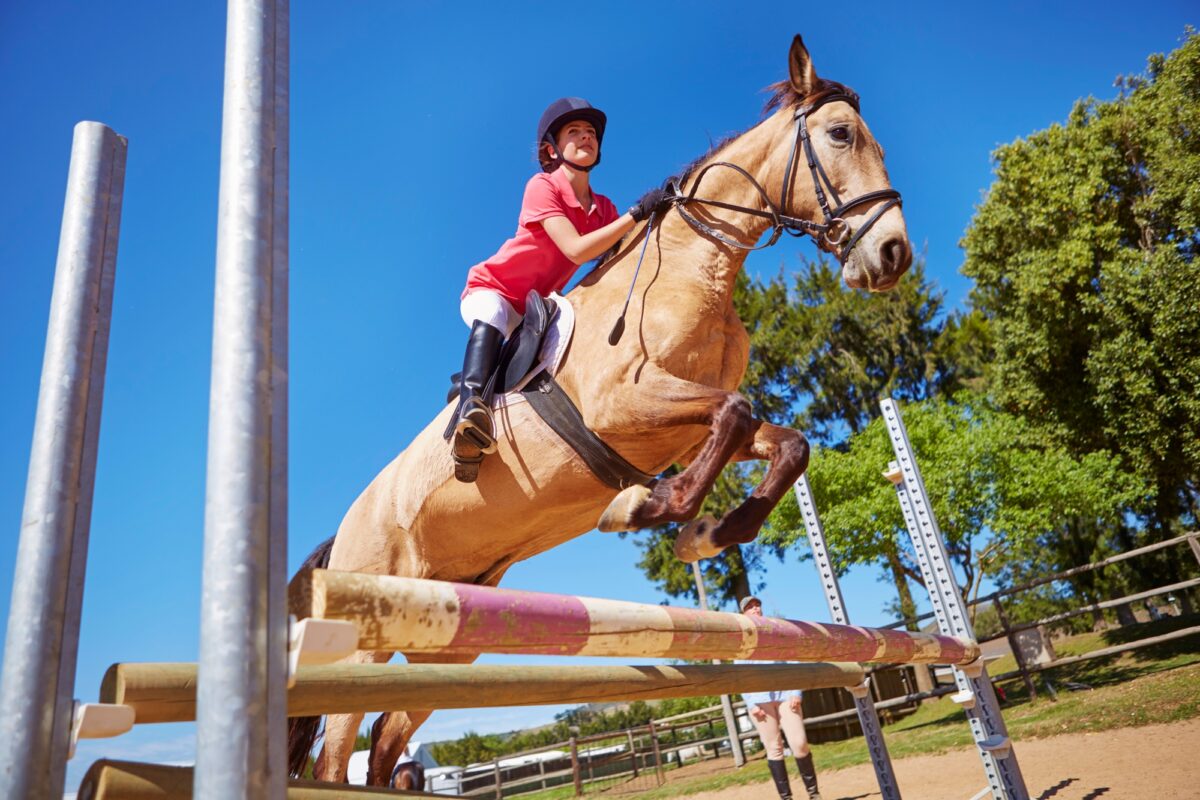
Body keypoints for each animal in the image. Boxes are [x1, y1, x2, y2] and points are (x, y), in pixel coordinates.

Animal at [288, 34, 912, 785]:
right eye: (841, 135)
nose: (893, 254)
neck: (692, 268)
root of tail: (341, 533)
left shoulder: (680, 427)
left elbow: (784, 442)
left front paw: (712, 529)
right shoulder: (626, 405)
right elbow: (735, 411)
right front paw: (650, 510)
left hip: (449, 633)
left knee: (384, 739)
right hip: (365, 634)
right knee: (336, 752)